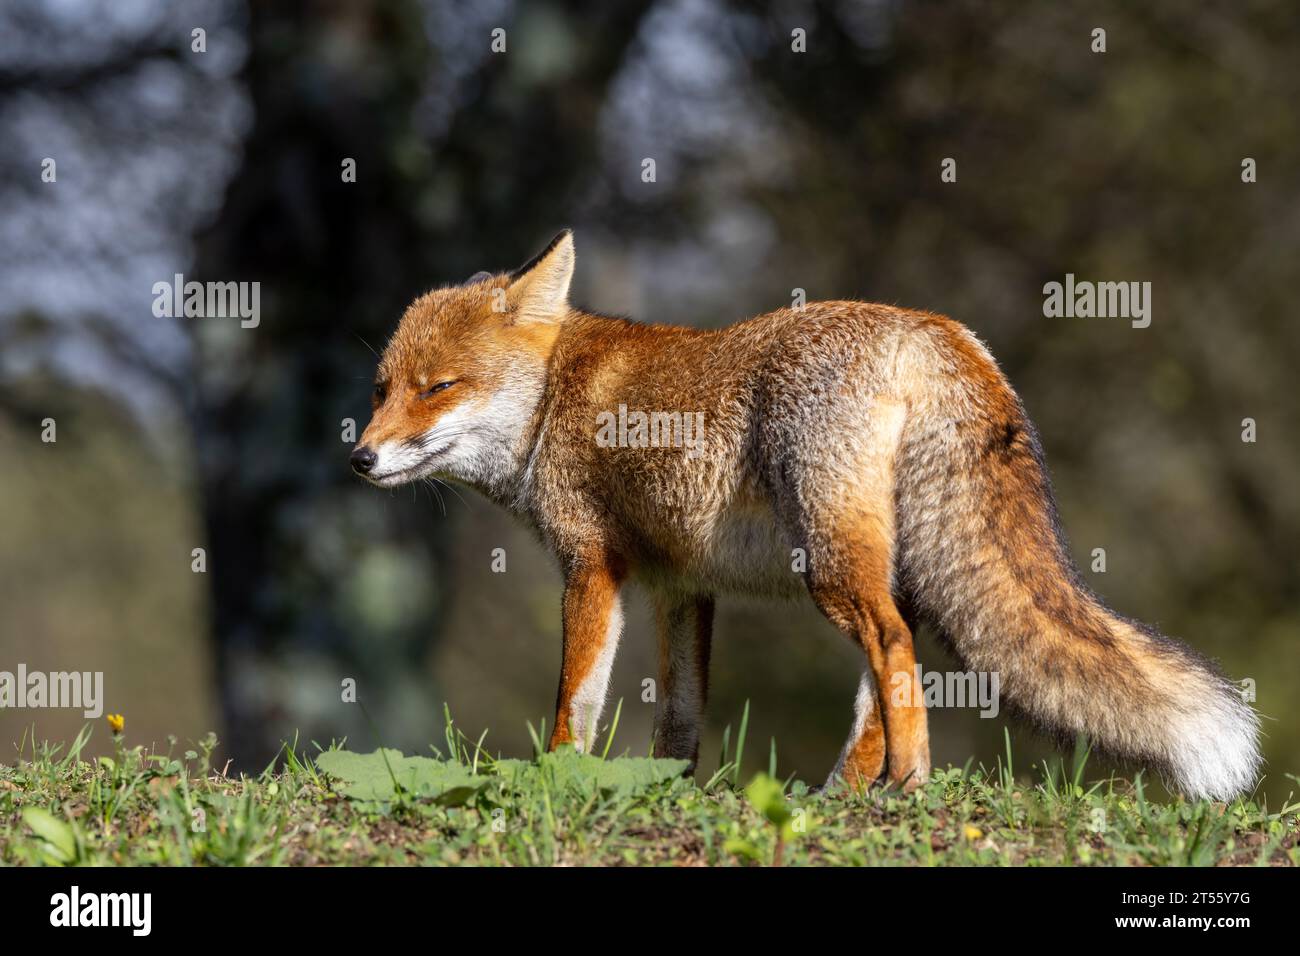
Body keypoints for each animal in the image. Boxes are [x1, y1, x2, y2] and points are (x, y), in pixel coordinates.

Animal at [351, 229, 1261, 801]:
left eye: (438, 388)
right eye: (382, 388)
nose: (359, 458)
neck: (553, 403)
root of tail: (934, 327)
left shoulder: (592, 567)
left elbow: (573, 706)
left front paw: (557, 782)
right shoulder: (682, 586)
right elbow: (678, 723)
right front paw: (667, 796)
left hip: (831, 565)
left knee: (893, 653)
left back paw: (906, 786)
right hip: (879, 564)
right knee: (882, 684)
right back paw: (842, 798)